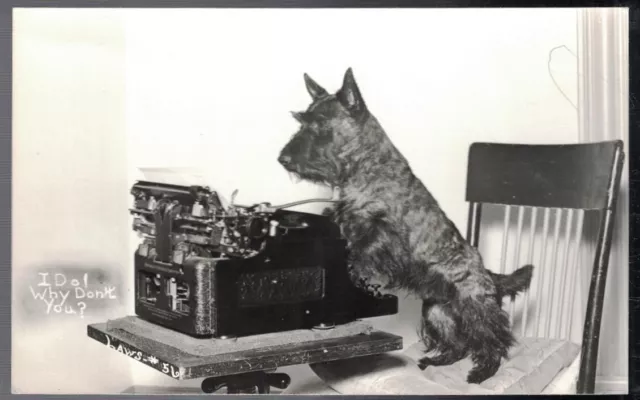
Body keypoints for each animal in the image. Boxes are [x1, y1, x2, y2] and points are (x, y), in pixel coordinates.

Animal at [278, 69, 532, 384]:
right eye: (301, 121)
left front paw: (357, 273)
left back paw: (483, 371)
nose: (283, 159)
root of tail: (490, 275)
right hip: (437, 312)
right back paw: (434, 361)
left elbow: (362, 253)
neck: (365, 168)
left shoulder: (383, 234)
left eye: (321, 124)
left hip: (474, 307)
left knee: (492, 338)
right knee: (457, 344)